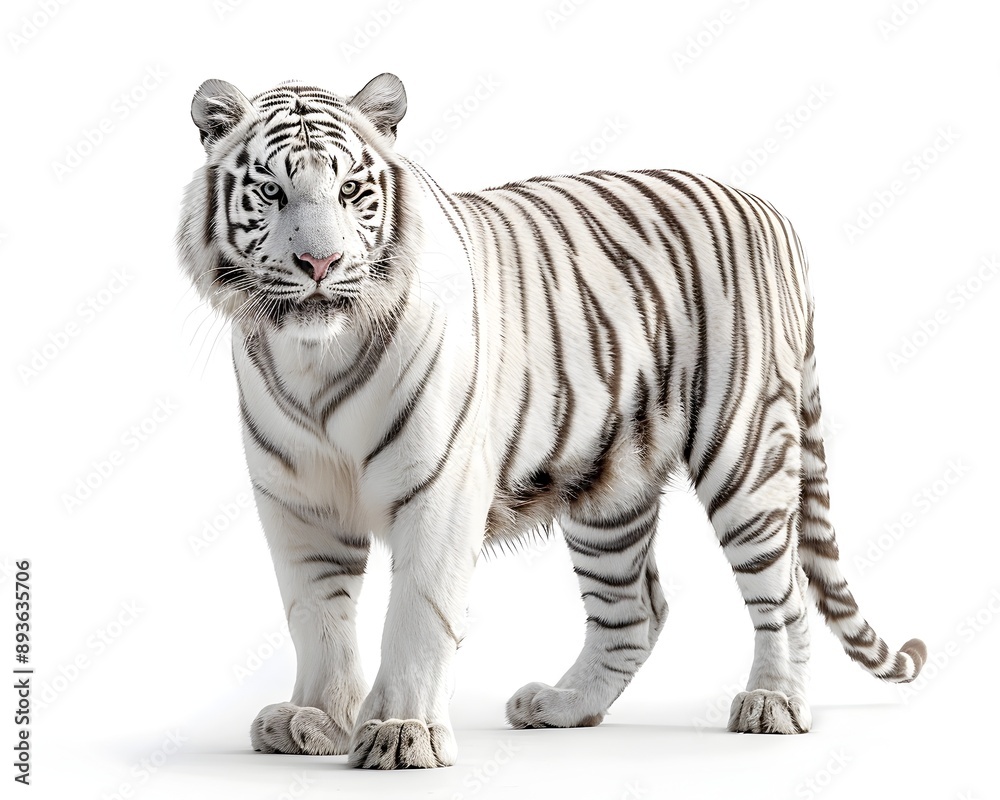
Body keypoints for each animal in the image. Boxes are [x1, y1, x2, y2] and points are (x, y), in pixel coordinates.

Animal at [176, 73, 926, 770]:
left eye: (352, 191)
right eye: (272, 192)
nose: (320, 262)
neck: (313, 358)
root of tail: (771, 211)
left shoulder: (440, 487)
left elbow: (418, 614)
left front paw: (402, 732)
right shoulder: (296, 502)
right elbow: (316, 616)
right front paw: (317, 719)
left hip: (744, 452)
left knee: (784, 590)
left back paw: (774, 702)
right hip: (609, 485)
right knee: (635, 612)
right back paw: (563, 705)